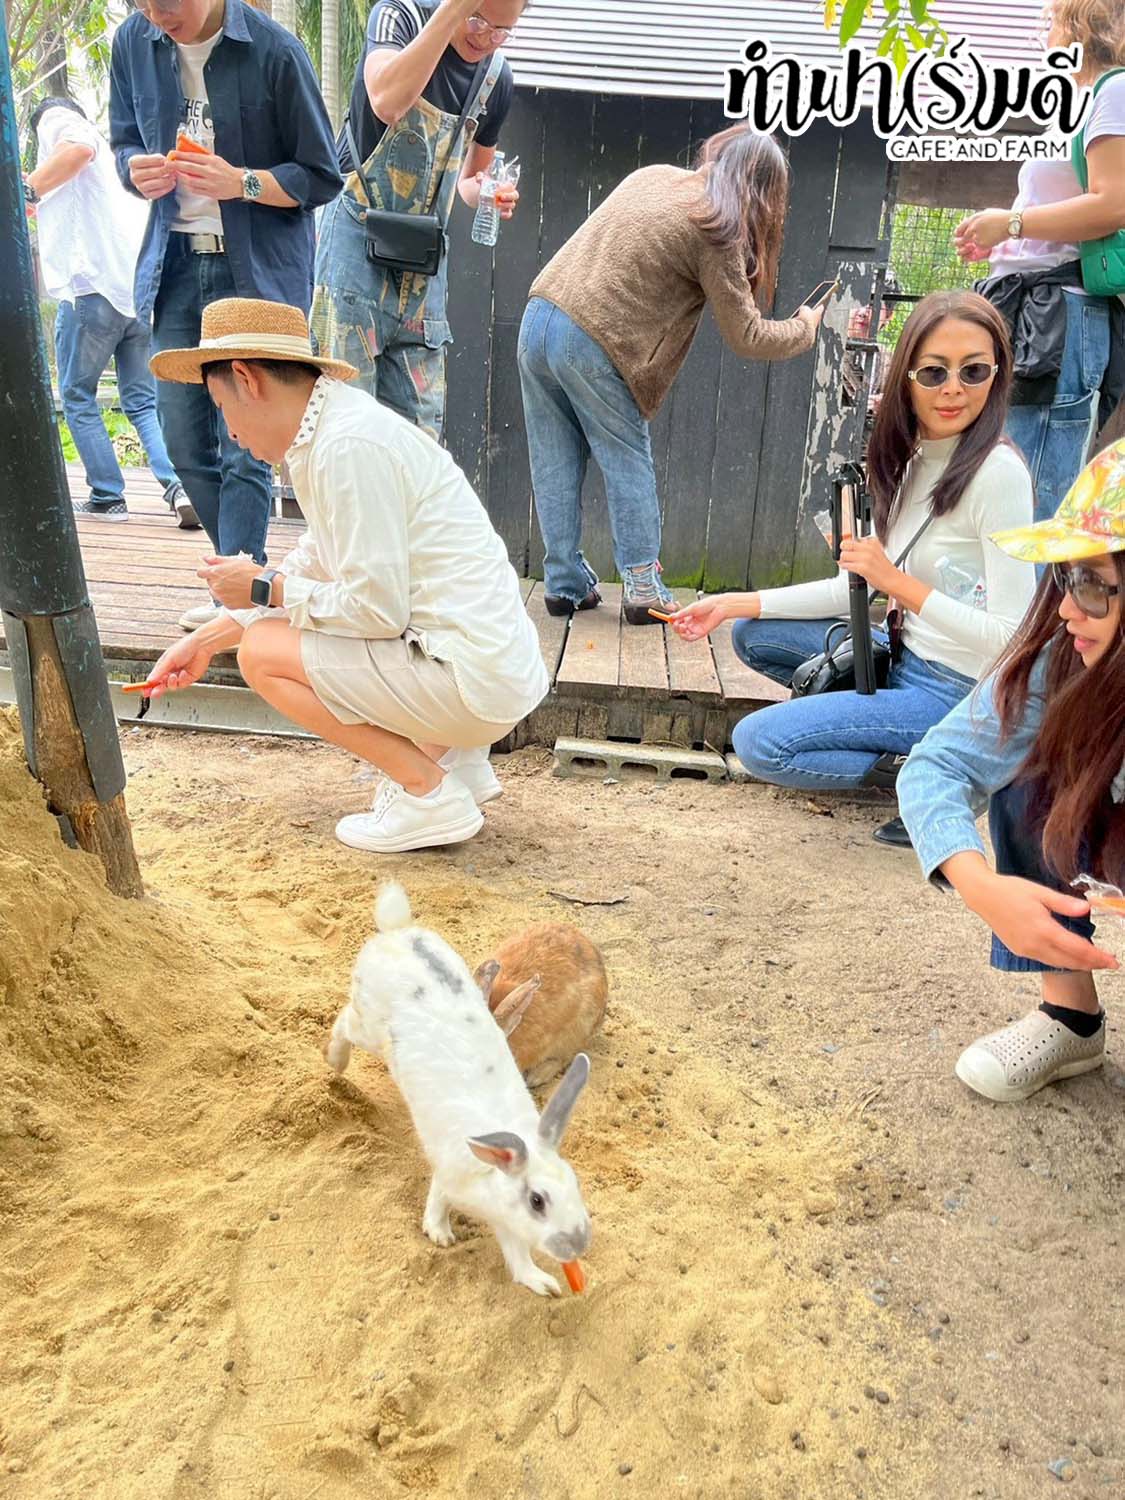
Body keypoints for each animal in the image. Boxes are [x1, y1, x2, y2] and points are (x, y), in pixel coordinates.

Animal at [325, 883, 592, 1297]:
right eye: (537, 1201)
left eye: (575, 1183)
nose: (577, 1244)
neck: (496, 1174)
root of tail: (396, 932)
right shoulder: (449, 1174)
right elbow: (438, 1199)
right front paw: (440, 1236)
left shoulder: (506, 1223)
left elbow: (517, 1256)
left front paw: (544, 1285)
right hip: (367, 1028)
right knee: (342, 1023)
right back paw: (335, 1063)